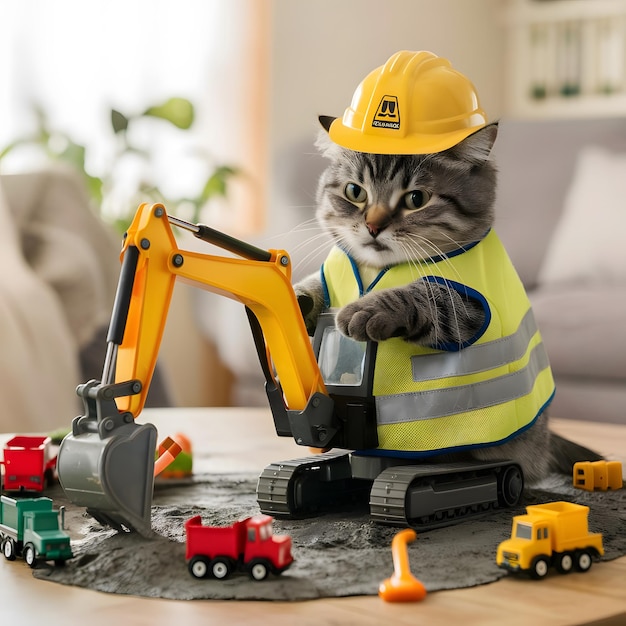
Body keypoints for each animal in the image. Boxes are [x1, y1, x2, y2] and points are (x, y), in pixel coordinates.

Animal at [294, 120, 596, 482]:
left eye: (416, 198)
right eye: (355, 192)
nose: (373, 226)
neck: (376, 269)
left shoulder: (467, 308)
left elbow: (418, 294)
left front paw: (364, 309)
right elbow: (314, 287)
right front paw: (295, 298)